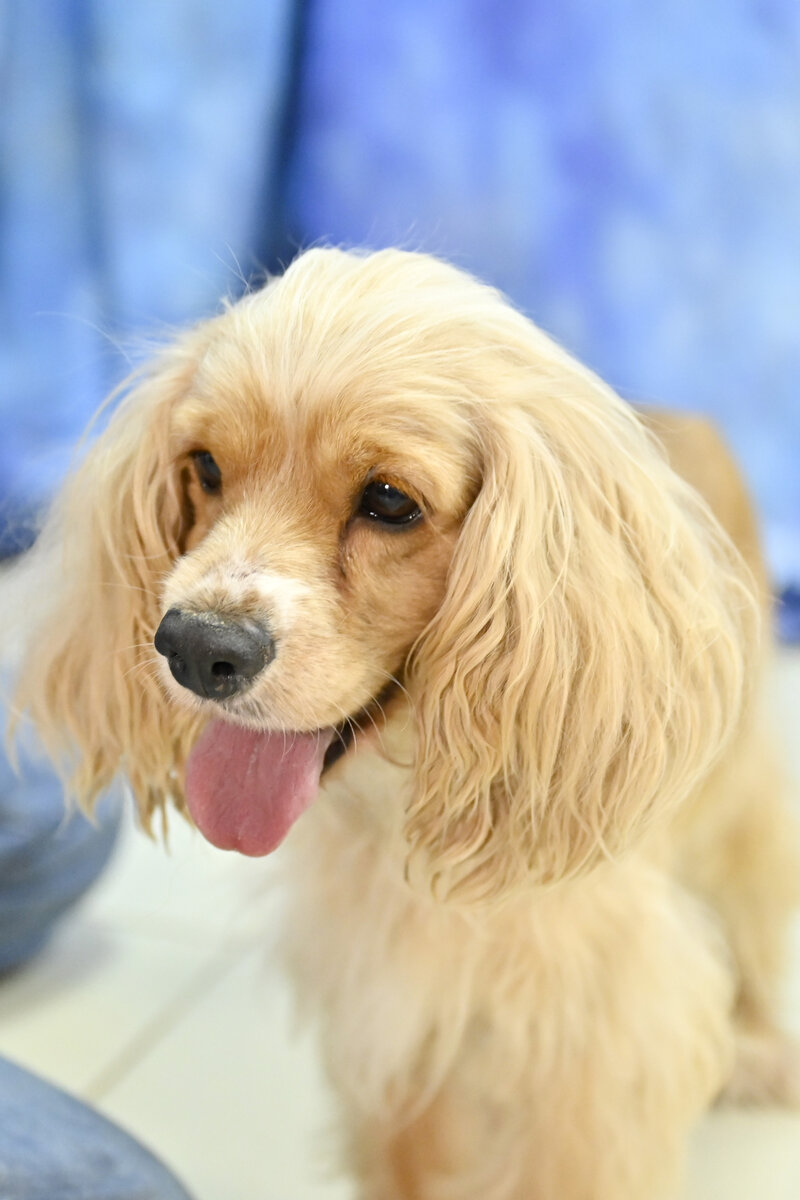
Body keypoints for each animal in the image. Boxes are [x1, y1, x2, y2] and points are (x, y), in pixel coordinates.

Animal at [6, 248, 799, 1199]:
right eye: (204, 467)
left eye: (389, 501)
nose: (195, 648)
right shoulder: (393, 1024)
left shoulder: (593, 1048)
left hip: (739, 804)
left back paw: (761, 1047)